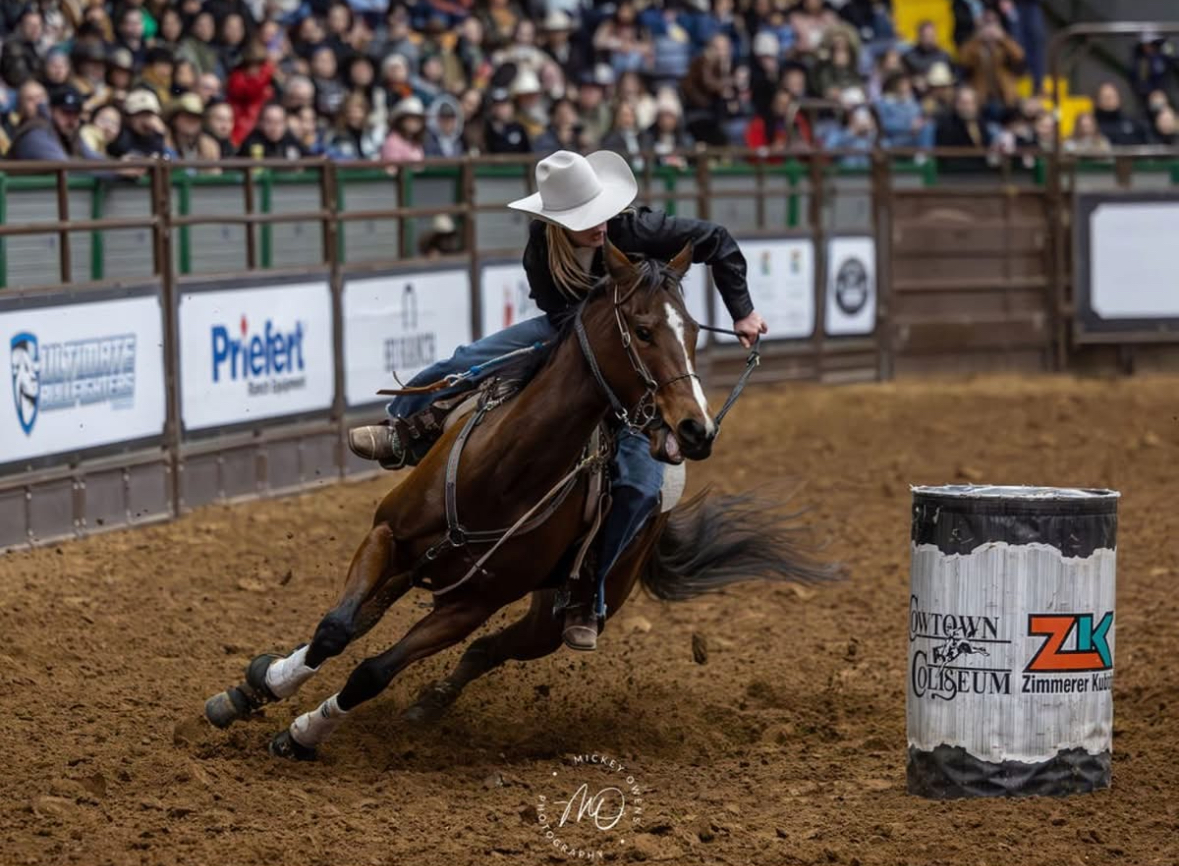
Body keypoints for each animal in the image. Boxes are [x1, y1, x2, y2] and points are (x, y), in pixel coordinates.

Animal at [204, 240, 834, 760]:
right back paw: (259, 686)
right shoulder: (386, 536)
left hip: (558, 613)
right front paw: (261, 689)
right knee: (365, 621)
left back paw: (430, 703)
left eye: (696, 333)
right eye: (642, 329)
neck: (500, 475)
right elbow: (335, 629)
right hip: (420, 567)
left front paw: (302, 734)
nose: (696, 430)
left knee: (489, 650)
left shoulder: (471, 604)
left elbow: (372, 673)